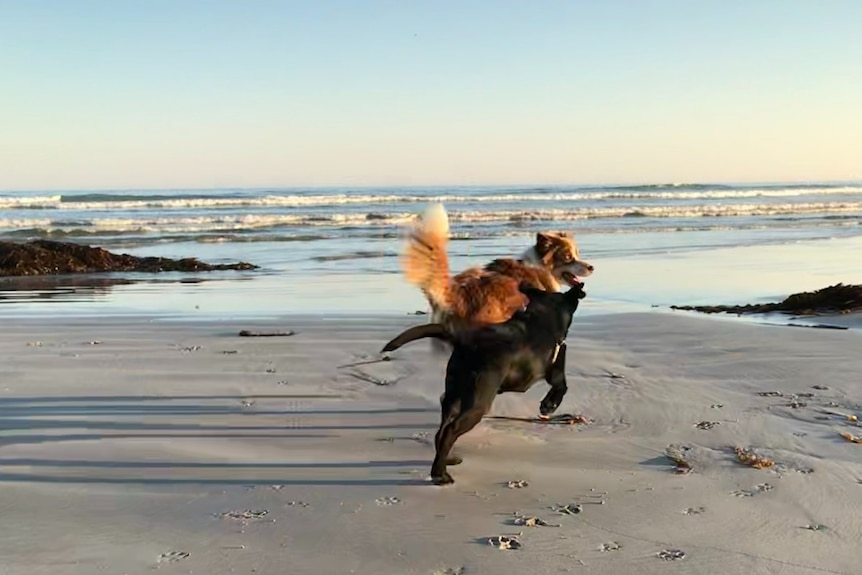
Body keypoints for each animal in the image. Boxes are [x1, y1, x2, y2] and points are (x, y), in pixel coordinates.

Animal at [380, 282, 588, 484]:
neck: (542, 315)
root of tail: (465, 342)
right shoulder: (555, 370)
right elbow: (562, 386)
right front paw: (549, 405)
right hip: (478, 402)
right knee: (450, 431)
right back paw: (440, 475)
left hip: (453, 396)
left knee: (442, 430)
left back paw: (447, 460)